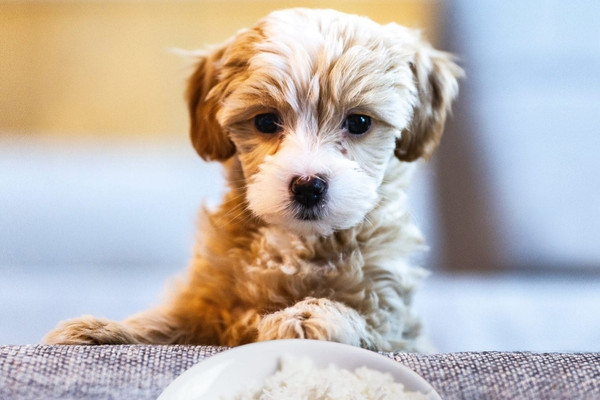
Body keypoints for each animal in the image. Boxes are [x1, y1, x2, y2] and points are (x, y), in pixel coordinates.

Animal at [45, 7, 460, 352]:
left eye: (358, 122)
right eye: (265, 121)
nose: (308, 185)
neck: (296, 243)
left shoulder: (394, 321)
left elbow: (364, 323)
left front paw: (308, 314)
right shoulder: (208, 300)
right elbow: (168, 320)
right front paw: (103, 330)